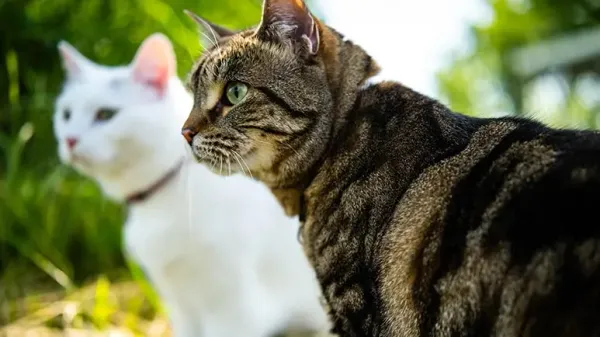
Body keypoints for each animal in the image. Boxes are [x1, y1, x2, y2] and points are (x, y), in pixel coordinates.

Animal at [53, 33, 330, 336]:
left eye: (105, 114)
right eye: (66, 114)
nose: (70, 140)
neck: (163, 199)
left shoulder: (234, 310)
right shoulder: (181, 308)